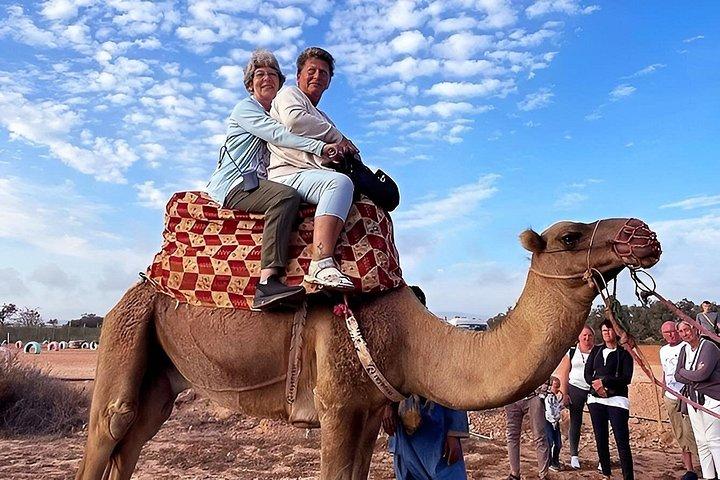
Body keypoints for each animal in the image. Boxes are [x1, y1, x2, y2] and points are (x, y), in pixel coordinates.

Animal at [75, 217, 661, 480]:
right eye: (570, 236)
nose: (645, 234)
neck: (409, 335)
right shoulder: (336, 403)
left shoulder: (369, 408)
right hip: (126, 329)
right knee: (110, 426)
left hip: (161, 372)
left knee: (136, 435)